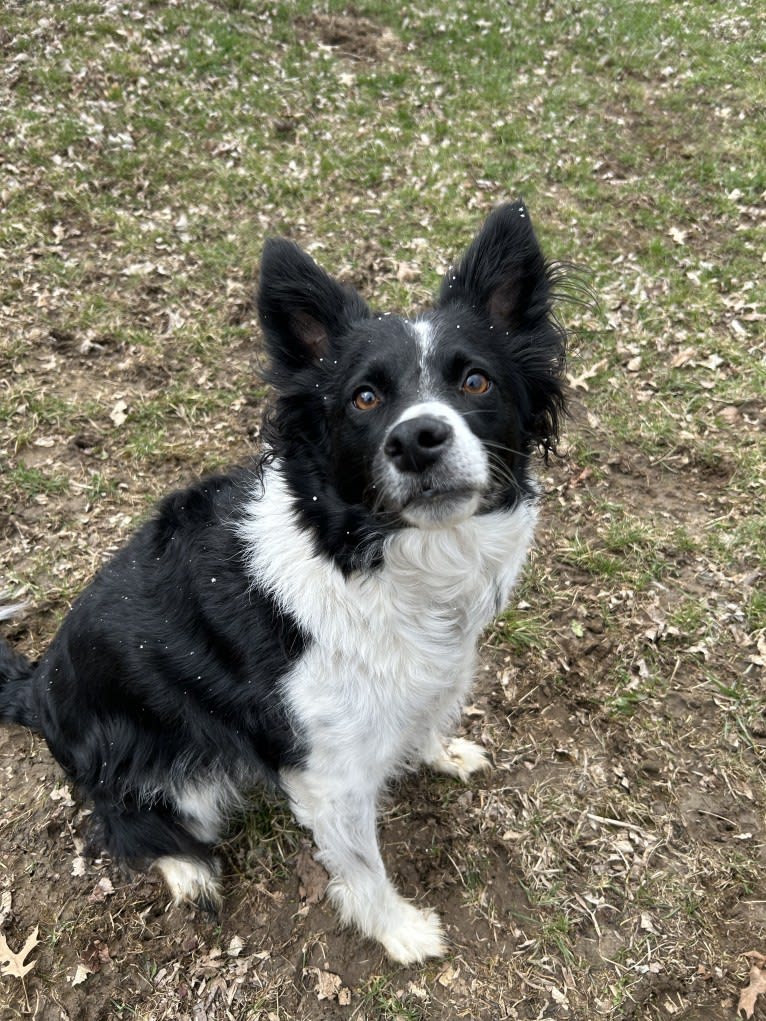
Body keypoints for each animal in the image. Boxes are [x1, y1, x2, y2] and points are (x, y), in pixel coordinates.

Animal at [0, 201, 563, 963]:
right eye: (363, 398)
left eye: (476, 381)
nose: (417, 440)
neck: (371, 556)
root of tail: (35, 689)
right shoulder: (330, 777)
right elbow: (362, 866)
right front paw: (399, 931)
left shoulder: (428, 676)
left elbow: (425, 716)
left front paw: (441, 752)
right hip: (172, 774)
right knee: (120, 822)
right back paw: (187, 871)